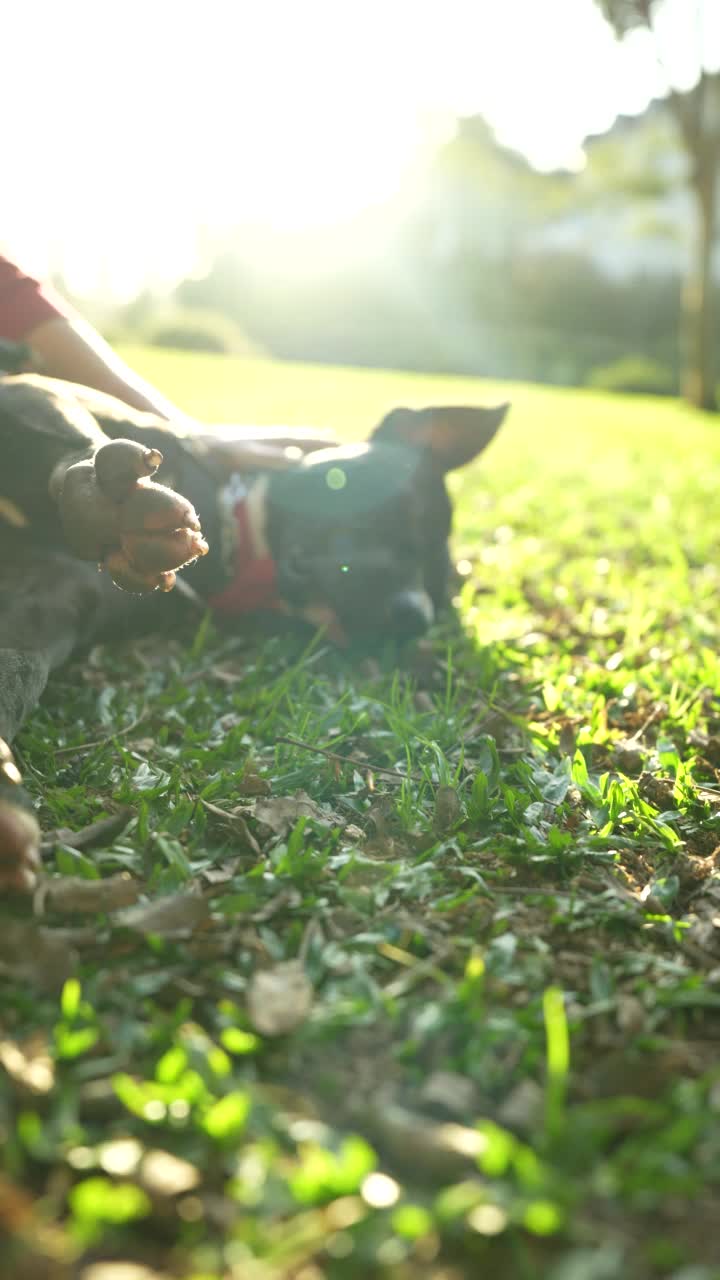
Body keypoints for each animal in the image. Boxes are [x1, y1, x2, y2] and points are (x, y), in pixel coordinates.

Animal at [0, 368, 507, 890]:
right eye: (405, 509)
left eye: (437, 599)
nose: (413, 614)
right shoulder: (30, 393)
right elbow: (75, 434)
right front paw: (101, 499)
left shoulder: (55, 598)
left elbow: (18, 669)